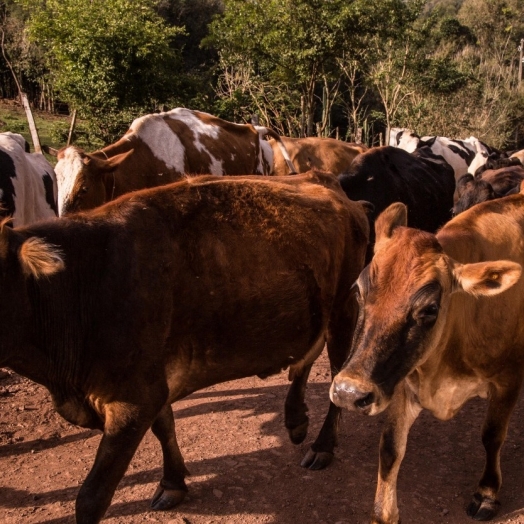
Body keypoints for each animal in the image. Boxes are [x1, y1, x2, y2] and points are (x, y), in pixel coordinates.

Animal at [0, 172, 368, 524]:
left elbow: (93, 497)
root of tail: (332, 187)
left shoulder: (134, 401)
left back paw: (322, 445)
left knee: (337, 374)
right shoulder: (154, 379)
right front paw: (173, 483)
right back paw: (295, 419)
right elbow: (165, 427)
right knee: (306, 355)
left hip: (343, 308)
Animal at [330, 198, 524, 524]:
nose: (348, 393)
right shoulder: (401, 382)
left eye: (431, 308)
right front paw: (384, 512)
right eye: (358, 291)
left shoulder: (508, 379)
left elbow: (492, 435)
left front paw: (486, 493)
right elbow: (390, 447)